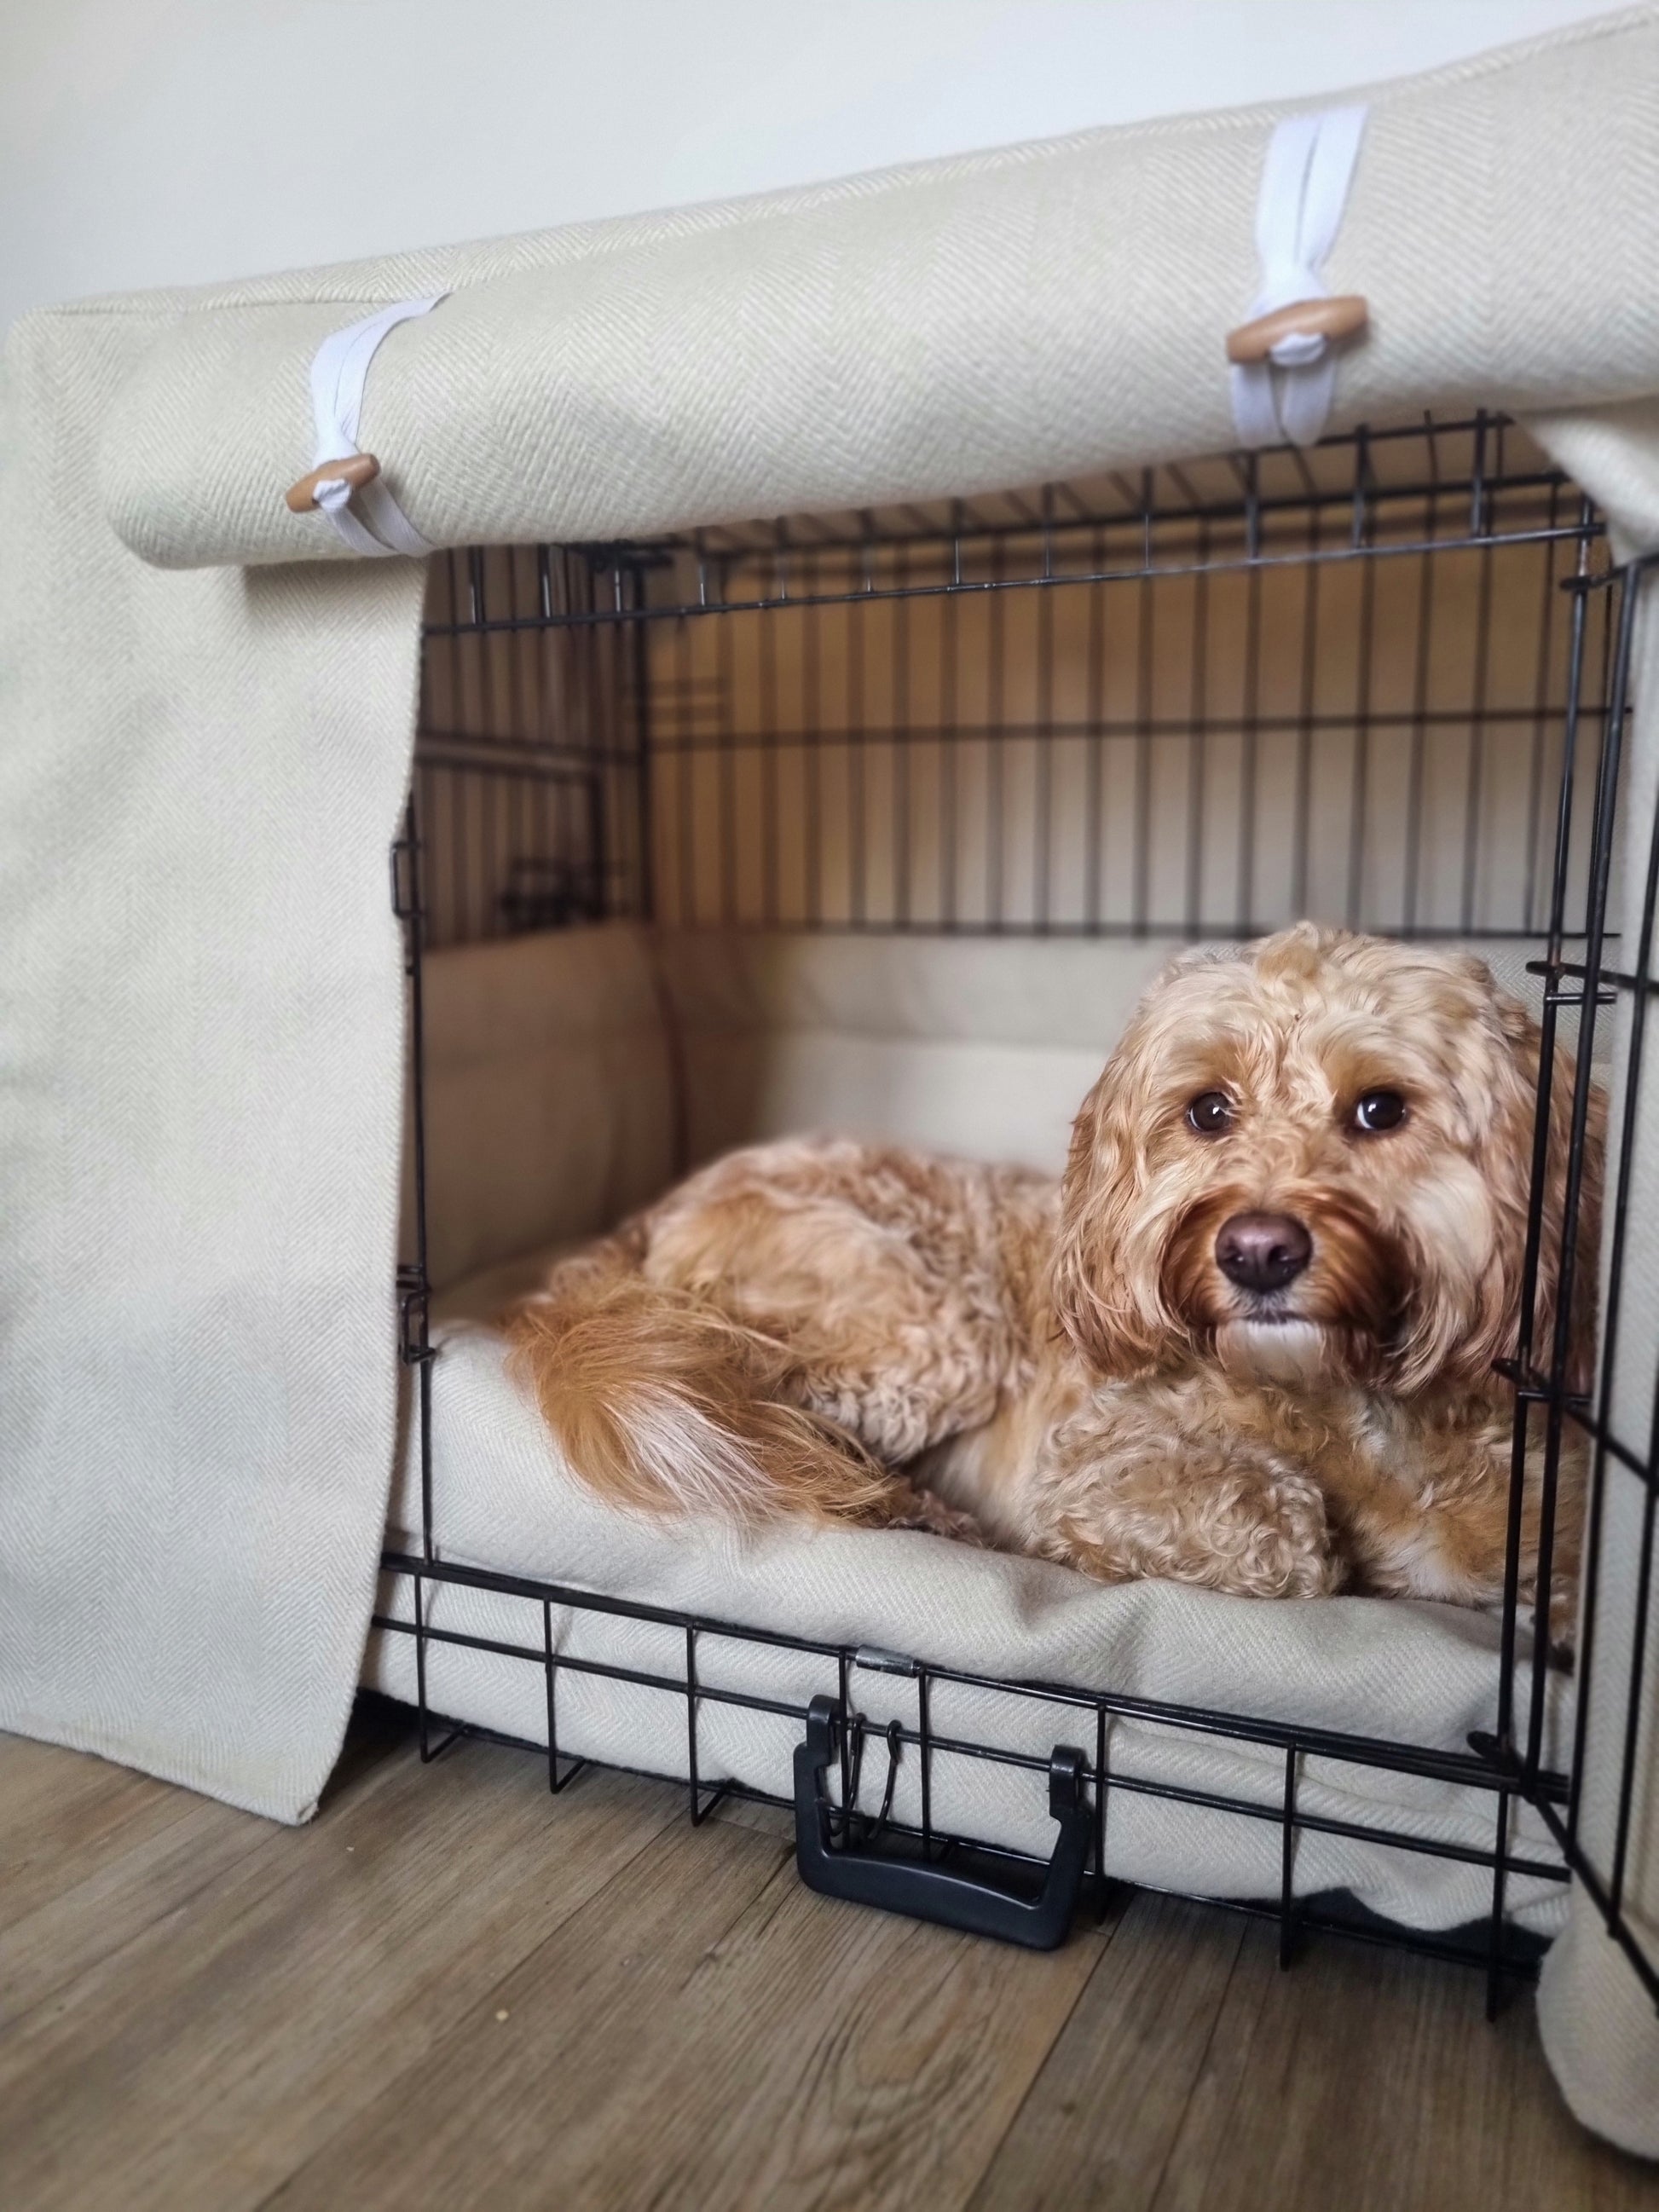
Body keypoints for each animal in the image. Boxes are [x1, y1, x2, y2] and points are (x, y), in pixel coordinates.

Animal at [506, 924, 1601, 1619]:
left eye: (1380, 1110)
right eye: (1207, 1111)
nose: (1255, 1252)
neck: (1359, 1402)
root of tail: (659, 1209)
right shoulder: (1093, 1470)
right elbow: (1291, 1534)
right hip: (924, 1334)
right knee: (770, 1415)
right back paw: (915, 1510)